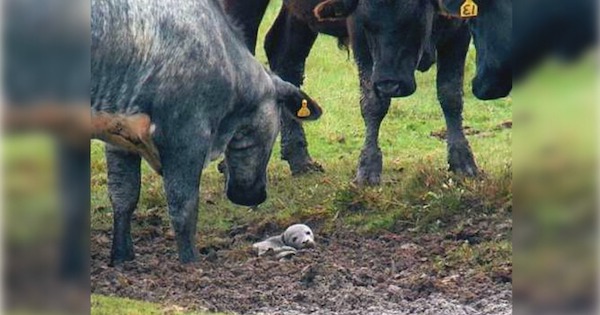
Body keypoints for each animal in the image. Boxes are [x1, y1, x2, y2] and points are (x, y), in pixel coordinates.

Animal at [91, 0, 322, 266]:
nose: (252, 196)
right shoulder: (187, 136)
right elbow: (183, 206)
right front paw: (190, 263)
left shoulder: (120, 134)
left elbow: (123, 195)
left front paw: (121, 257)